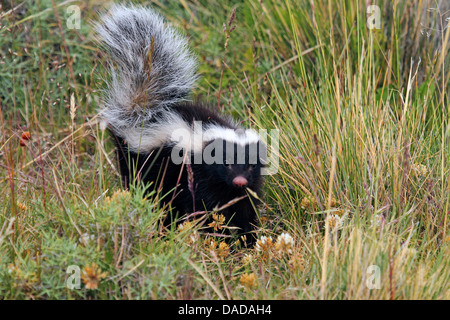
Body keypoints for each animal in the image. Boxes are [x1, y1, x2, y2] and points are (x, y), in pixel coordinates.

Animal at [94, 4, 264, 245]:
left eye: (250, 165)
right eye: (227, 163)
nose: (239, 180)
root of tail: (142, 113)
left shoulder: (244, 187)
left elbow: (245, 208)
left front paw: (248, 239)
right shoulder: (197, 175)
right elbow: (204, 206)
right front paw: (217, 237)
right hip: (142, 163)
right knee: (147, 190)